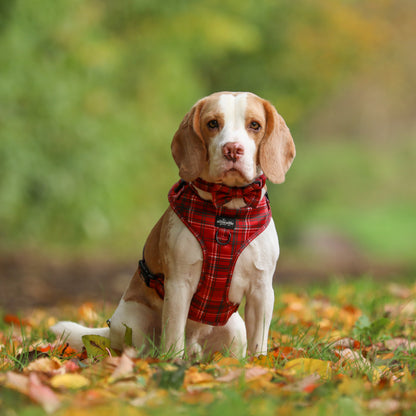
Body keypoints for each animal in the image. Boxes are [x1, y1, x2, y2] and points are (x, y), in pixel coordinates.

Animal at [50, 91, 294, 358]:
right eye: (212, 124)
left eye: (255, 125)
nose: (232, 149)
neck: (227, 208)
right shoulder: (179, 285)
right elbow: (174, 334)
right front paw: (172, 362)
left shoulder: (262, 290)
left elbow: (259, 341)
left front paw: (259, 364)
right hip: (134, 319)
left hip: (235, 328)